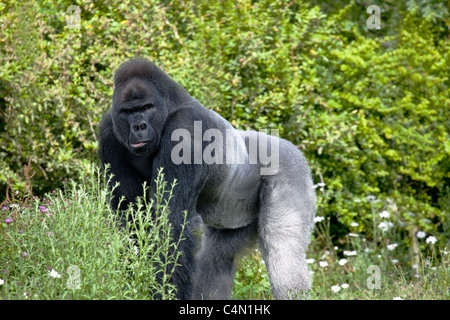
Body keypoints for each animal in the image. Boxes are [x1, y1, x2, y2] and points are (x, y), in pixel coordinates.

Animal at [98, 58, 316, 300]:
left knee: (282, 250)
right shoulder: (109, 132)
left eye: (146, 108)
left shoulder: (185, 127)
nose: (139, 126)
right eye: (128, 112)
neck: (168, 108)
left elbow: (171, 222)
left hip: (292, 169)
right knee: (218, 257)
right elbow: (131, 219)